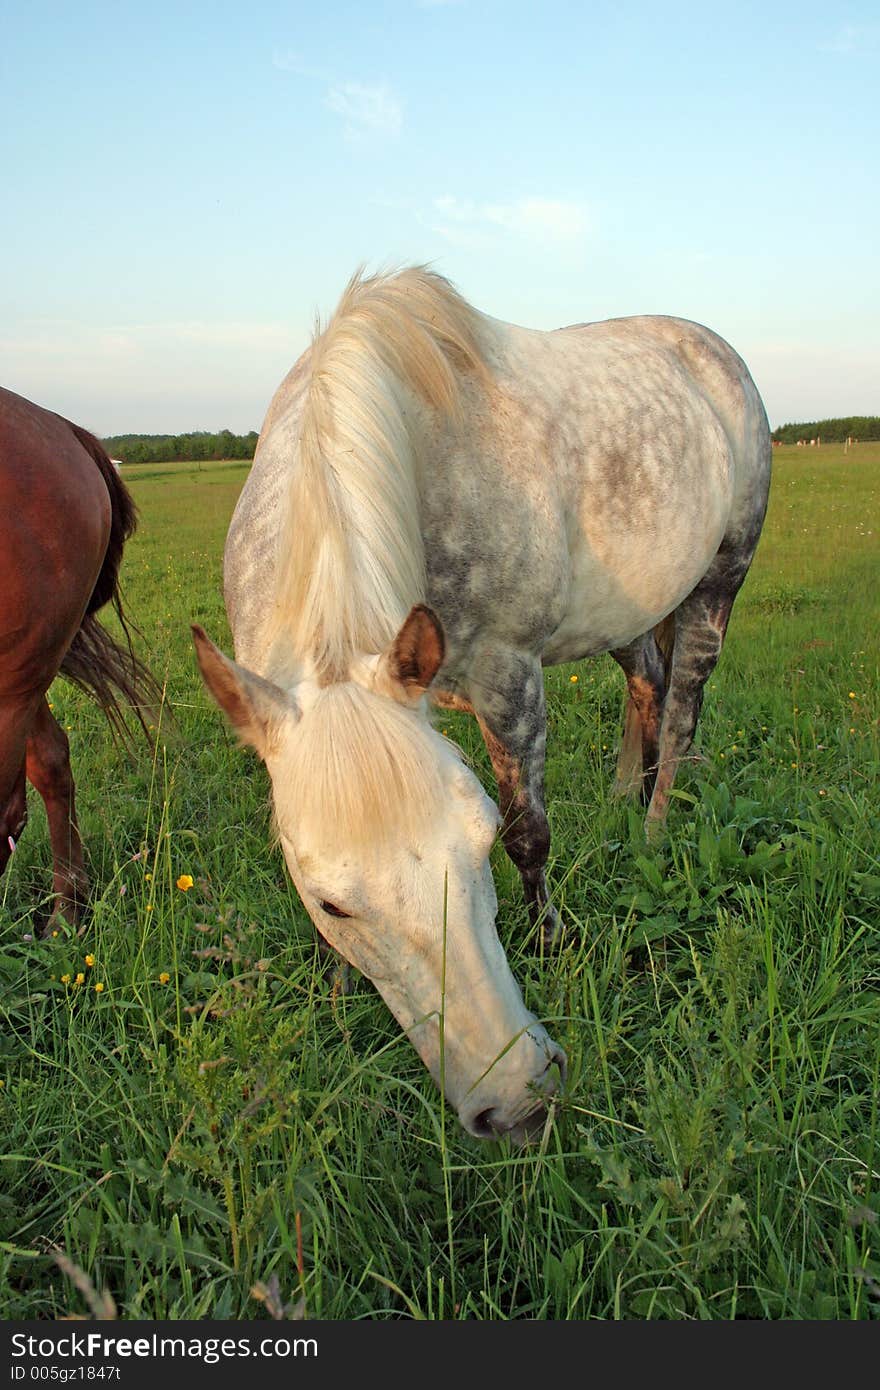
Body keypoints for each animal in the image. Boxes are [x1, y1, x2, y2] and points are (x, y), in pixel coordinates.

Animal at [193, 265, 767, 1145]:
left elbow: (532, 831)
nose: (521, 1100)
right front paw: (337, 991)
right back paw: (619, 798)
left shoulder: (510, 678)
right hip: (629, 613)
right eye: (331, 902)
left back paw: (651, 830)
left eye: (479, 843)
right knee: (646, 684)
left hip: (718, 584)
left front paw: (551, 938)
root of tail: (708, 347)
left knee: (681, 711)